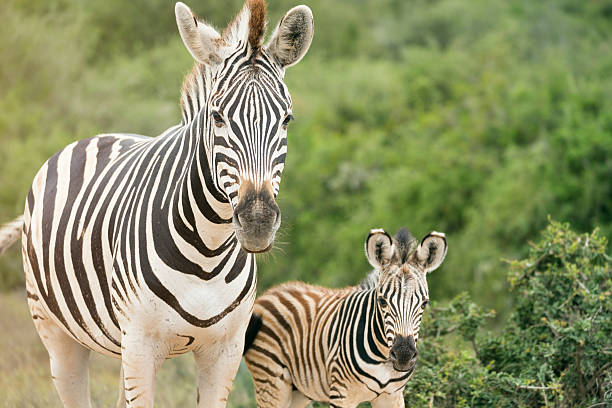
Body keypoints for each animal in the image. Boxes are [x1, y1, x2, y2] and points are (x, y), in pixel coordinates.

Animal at [0, 1, 314, 406]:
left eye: (286, 119)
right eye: (217, 116)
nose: (257, 222)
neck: (208, 252)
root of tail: (98, 136)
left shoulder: (225, 350)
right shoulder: (141, 343)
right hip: (57, 330)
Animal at [241, 228, 448, 406]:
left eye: (424, 304)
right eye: (382, 301)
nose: (404, 355)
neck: (383, 358)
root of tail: (269, 292)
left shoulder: (392, 396)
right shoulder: (342, 394)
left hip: (297, 390)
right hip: (271, 380)